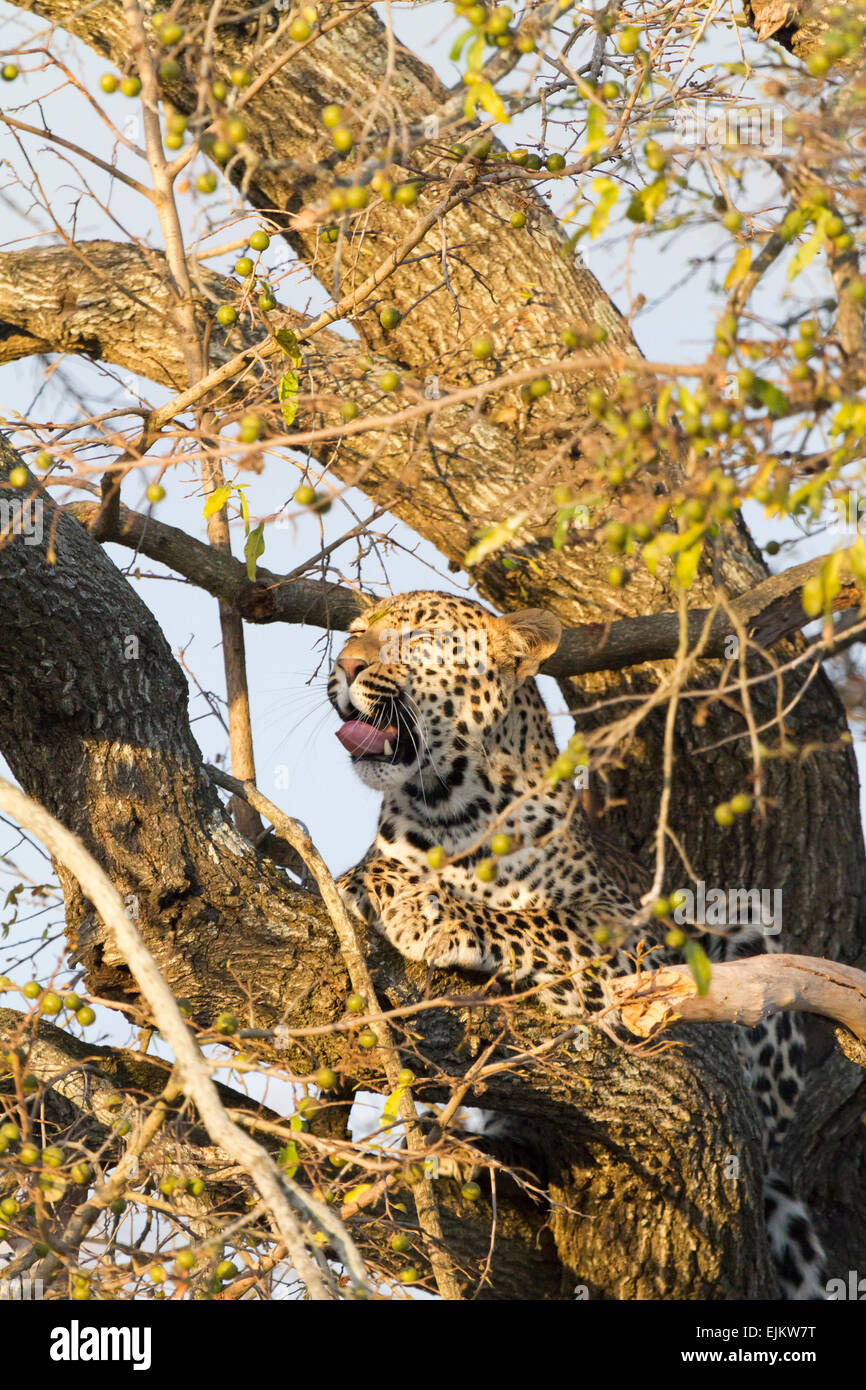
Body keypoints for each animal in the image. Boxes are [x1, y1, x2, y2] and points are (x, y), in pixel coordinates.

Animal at [326, 589, 828, 1301]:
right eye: (356, 632)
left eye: (418, 635)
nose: (344, 665)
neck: (451, 808)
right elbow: (371, 872)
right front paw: (375, 883)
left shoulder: (631, 933)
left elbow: (545, 923)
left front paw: (436, 912)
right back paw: (466, 1153)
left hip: (742, 927)